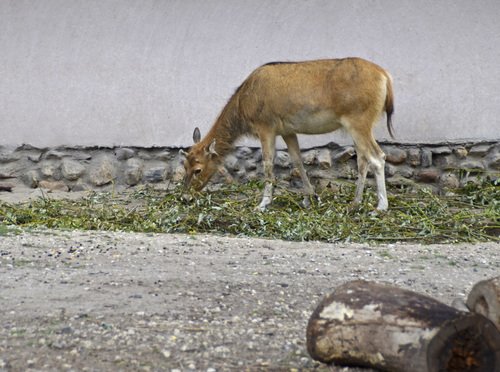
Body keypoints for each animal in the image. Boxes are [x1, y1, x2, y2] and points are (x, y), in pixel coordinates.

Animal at [182, 57, 392, 211]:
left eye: (198, 169)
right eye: (184, 164)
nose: (184, 196)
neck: (244, 108)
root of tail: (386, 78)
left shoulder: (266, 126)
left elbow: (267, 162)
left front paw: (263, 204)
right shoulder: (288, 130)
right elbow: (297, 160)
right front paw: (310, 197)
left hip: (359, 121)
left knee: (377, 157)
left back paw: (380, 207)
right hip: (358, 125)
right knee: (363, 160)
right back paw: (355, 203)